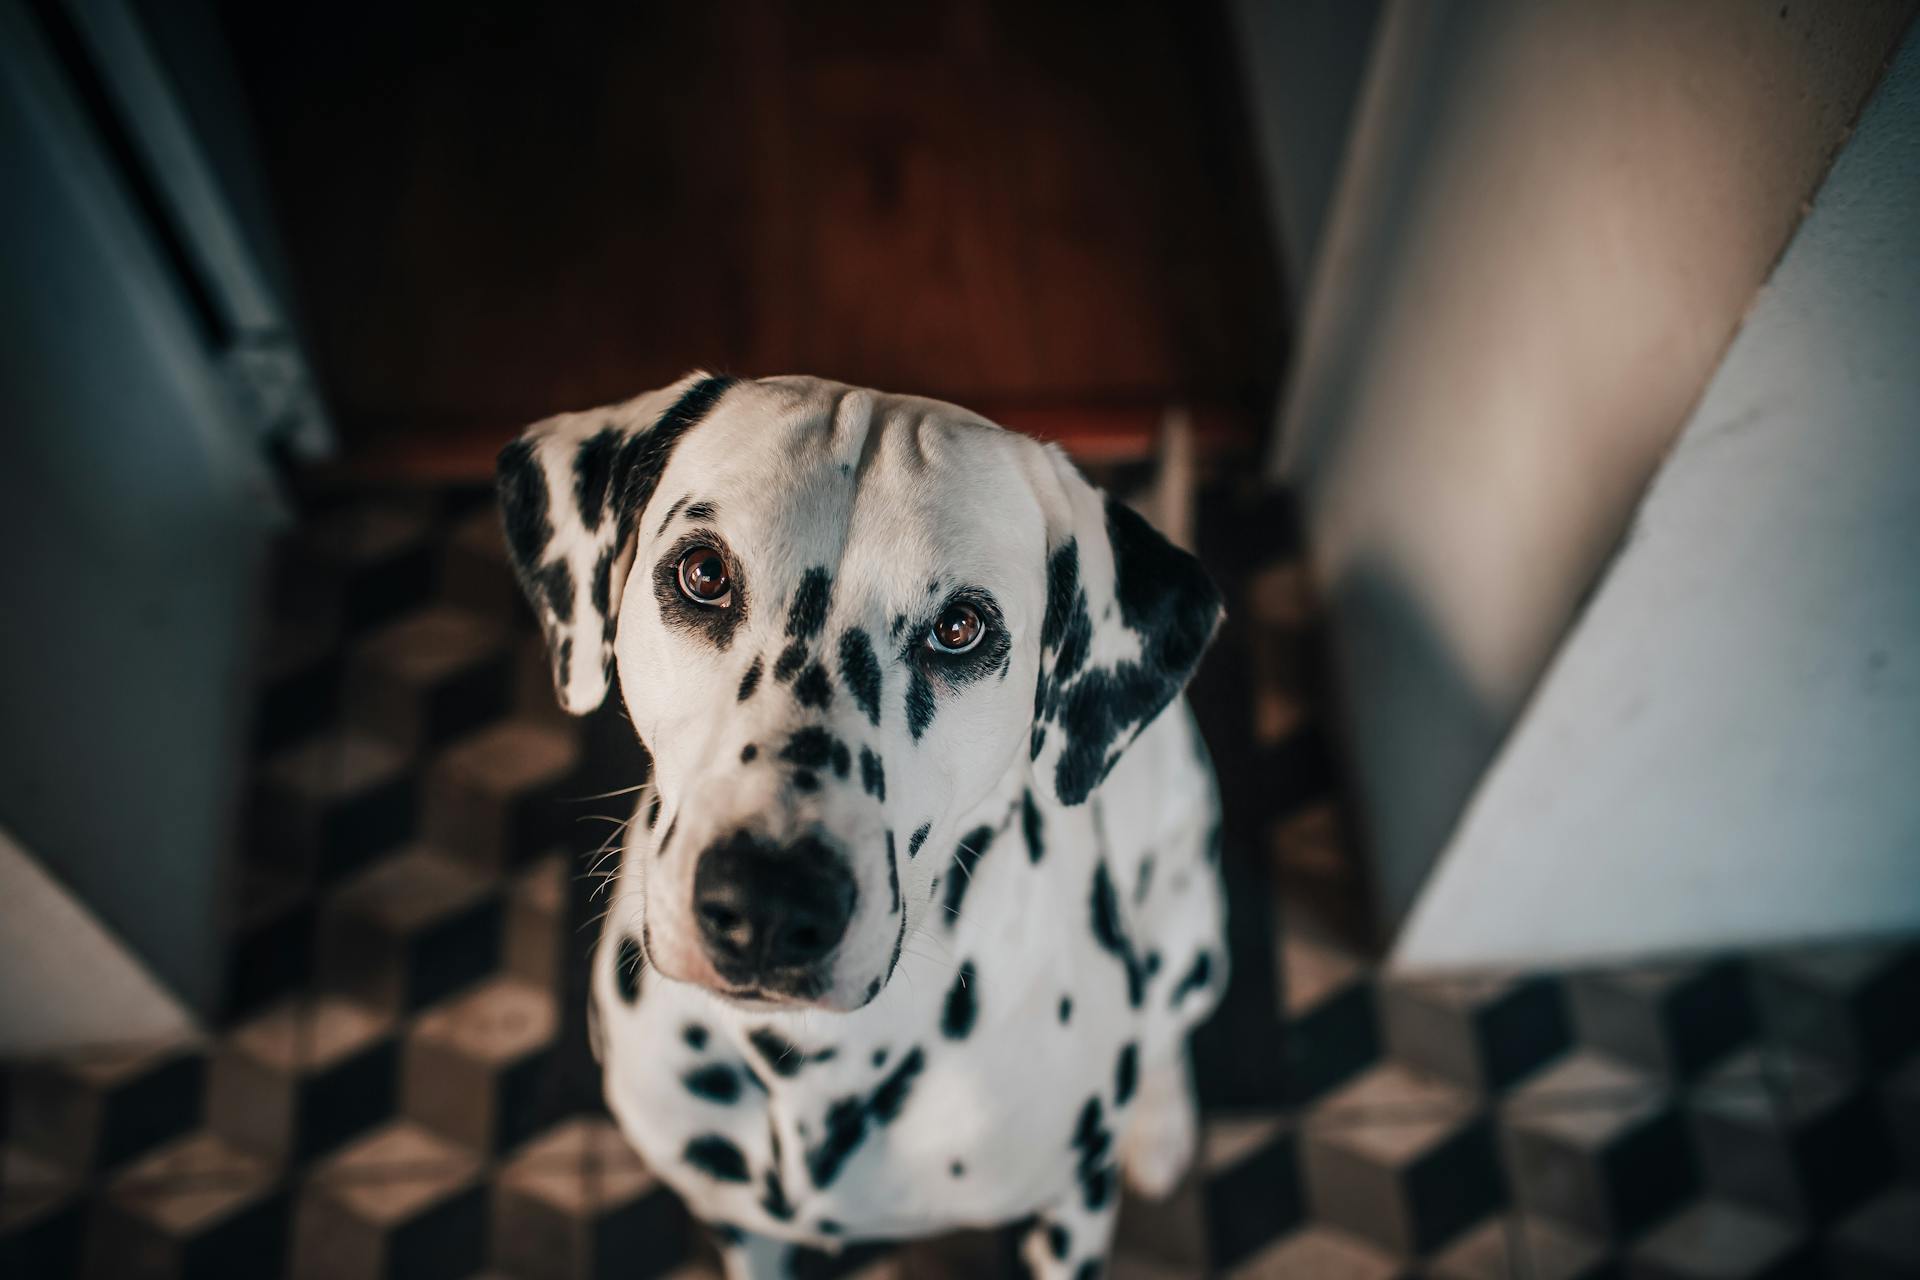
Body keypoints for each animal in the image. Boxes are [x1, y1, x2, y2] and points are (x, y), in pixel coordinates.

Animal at [499, 372, 1228, 1280]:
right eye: (704, 572)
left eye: (960, 628)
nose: (768, 905)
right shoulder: (739, 1225)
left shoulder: (1073, 1208)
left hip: (1191, 930)